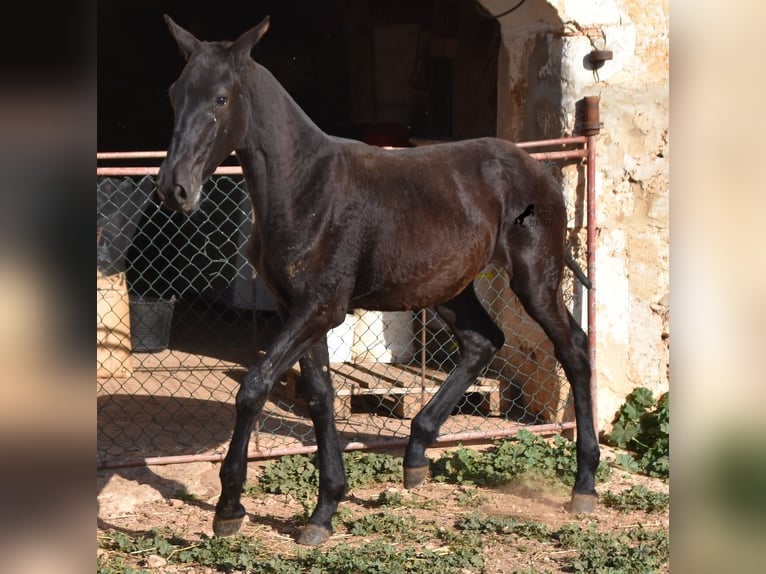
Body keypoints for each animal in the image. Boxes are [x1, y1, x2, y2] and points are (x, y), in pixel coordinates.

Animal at [156, 16, 600, 548]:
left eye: (221, 98)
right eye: (175, 93)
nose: (175, 189)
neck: (305, 186)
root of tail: (541, 171)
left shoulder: (322, 308)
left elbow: (254, 387)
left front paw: (229, 508)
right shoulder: (296, 308)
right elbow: (320, 397)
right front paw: (324, 509)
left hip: (535, 278)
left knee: (573, 348)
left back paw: (584, 484)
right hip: (448, 288)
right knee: (483, 341)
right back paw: (416, 454)